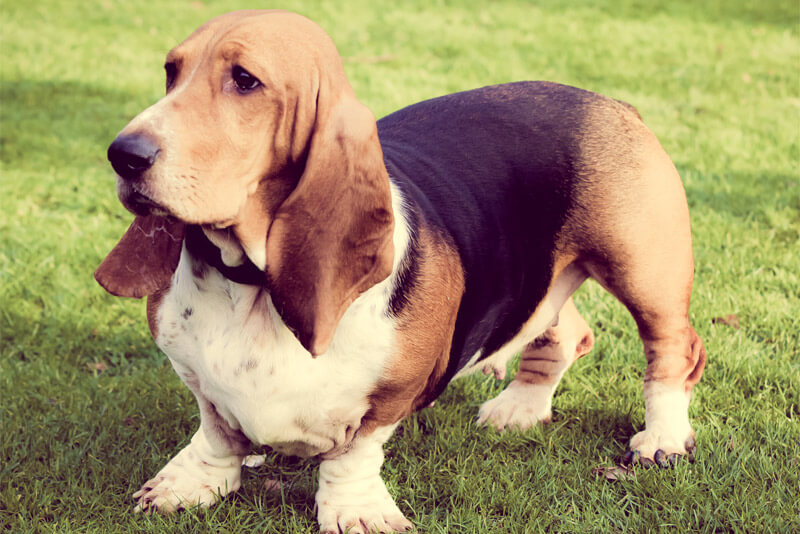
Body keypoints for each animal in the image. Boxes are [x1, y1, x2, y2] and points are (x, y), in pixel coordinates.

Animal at [95, 9, 708, 534]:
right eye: (171, 72)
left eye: (245, 80)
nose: (123, 154)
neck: (252, 282)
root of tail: (610, 102)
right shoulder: (194, 373)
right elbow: (218, 431)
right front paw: (187, 484)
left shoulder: (392, 393)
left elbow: (355, 453)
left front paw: (357, 512)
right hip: (544, 273)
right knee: (567, 330)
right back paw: (520, 407)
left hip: (642, 269)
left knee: (675, 348)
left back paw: (663, 436)